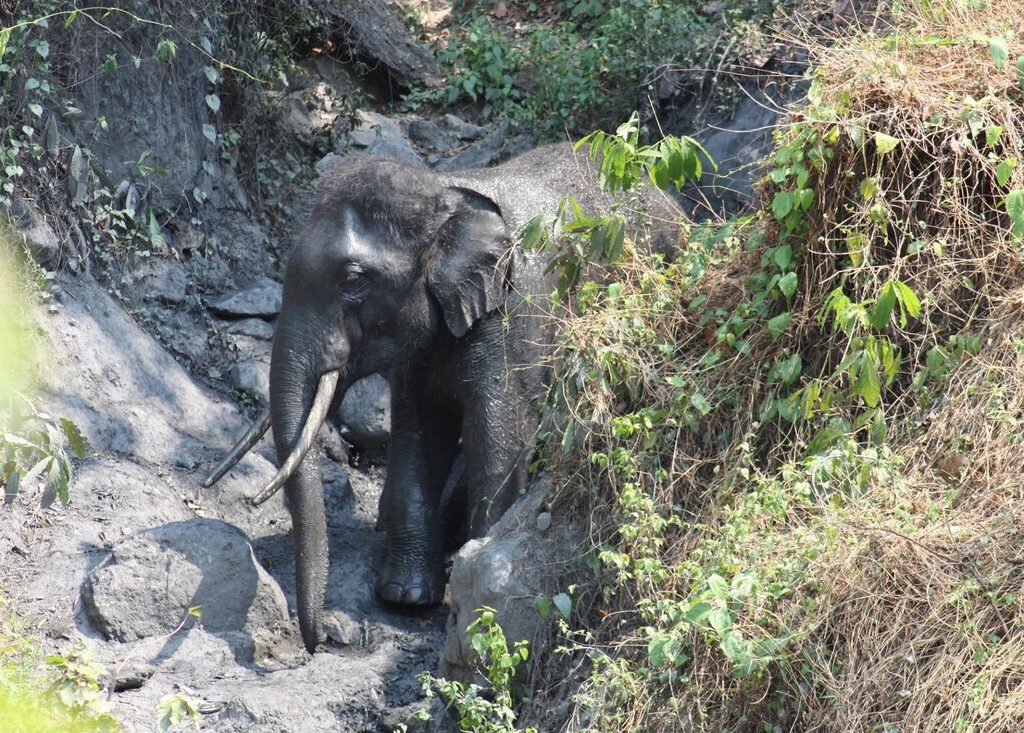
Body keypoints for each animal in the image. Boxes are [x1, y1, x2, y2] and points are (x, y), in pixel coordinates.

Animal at [206, 142, 676, 653]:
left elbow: (500, 439)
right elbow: (419, 436)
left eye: (353, 280)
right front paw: (406, 597)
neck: (444, 196)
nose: (320, 642)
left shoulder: (511, 319)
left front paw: (470, 598)